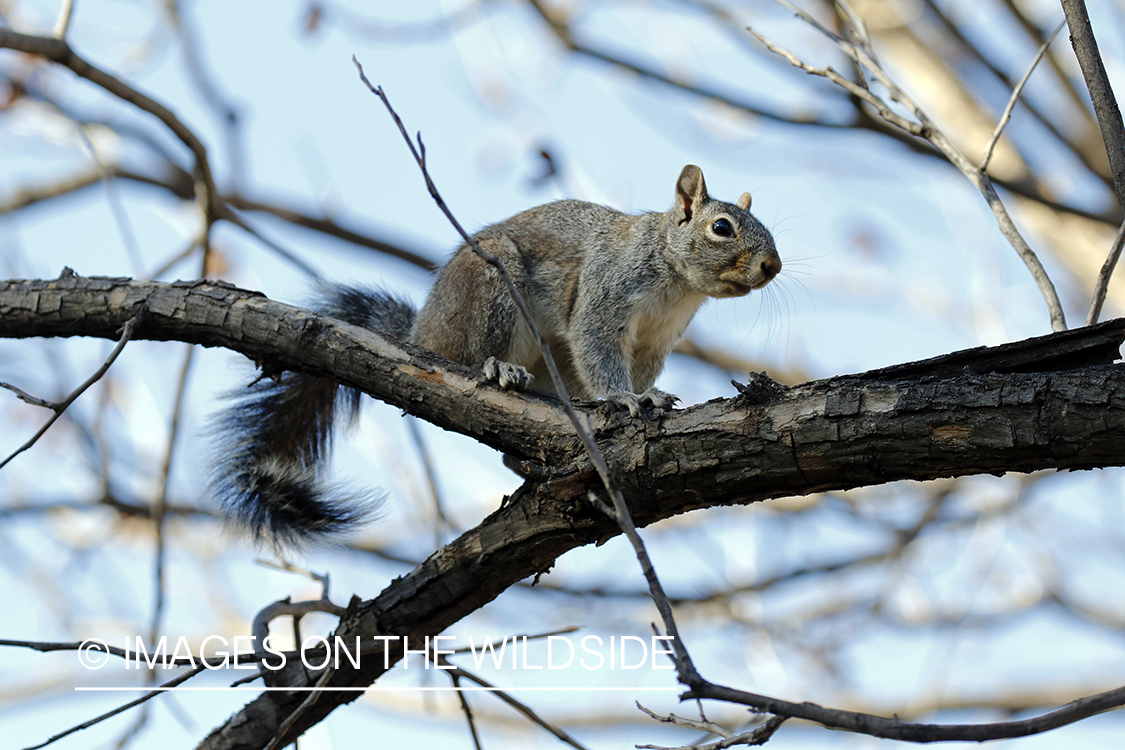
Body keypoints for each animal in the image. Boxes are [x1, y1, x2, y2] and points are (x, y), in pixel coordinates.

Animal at [211, 164, 781, 545]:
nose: (772, 266)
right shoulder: (606, 293)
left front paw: (648, 396)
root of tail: (422, 332)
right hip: (489, 288)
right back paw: (494, 367)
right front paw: (626, 401)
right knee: (465, 359)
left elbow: (637, 370)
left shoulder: (655, 341)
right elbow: (597, 348)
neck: (676, 282)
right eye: (722, 227)